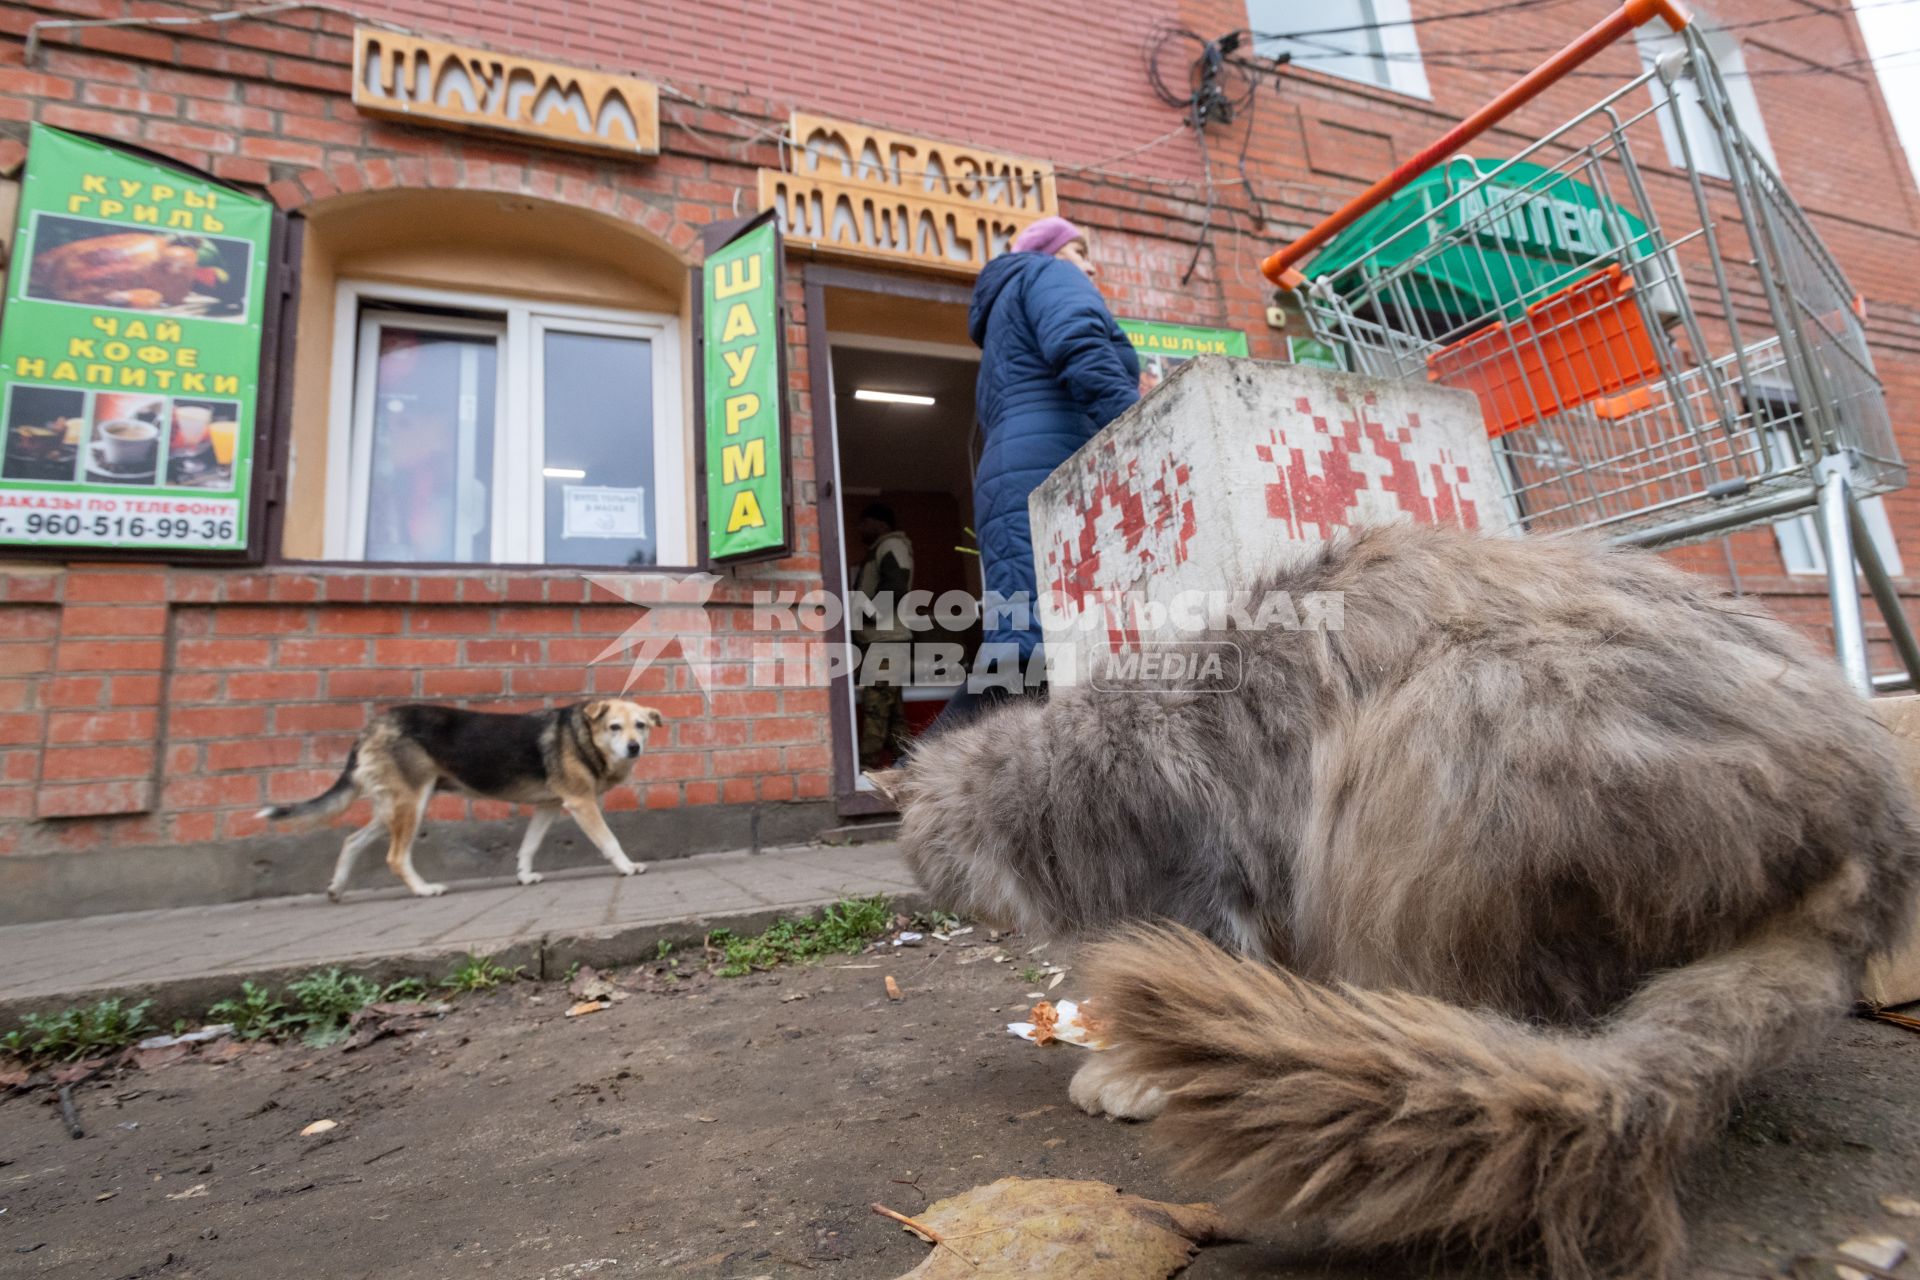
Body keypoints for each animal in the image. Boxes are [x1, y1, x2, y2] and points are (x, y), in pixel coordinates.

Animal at [261, 702, 668, 901]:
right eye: (615, 727)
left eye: (641, 725)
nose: (634, 747)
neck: (583, 734)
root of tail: (371, 726)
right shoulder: (581, 803)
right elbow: (610, 841)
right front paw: (628, 867)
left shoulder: (549, 806)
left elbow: (528, 845)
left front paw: (524, 876)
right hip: (411, 804)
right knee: (395, 856)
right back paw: (424, 890)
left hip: (394, 806)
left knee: (351, 840)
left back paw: (337, 888)